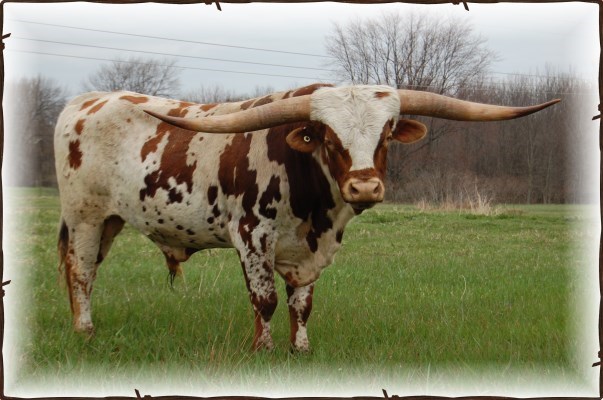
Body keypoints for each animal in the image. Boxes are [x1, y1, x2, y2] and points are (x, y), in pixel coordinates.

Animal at [55, 83, 559, 352]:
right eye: (326, 137)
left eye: (388, 133)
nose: (365, 187)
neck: (316, 210)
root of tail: (84, 102)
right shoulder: (251, 235)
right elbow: (265, 301)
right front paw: (263, 351)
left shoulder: (311, 250)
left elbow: (301, 304)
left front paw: (300, 350)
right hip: (85, 216)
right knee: (80, 272)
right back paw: (84, 331)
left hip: (110, 221)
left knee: (87, 270)